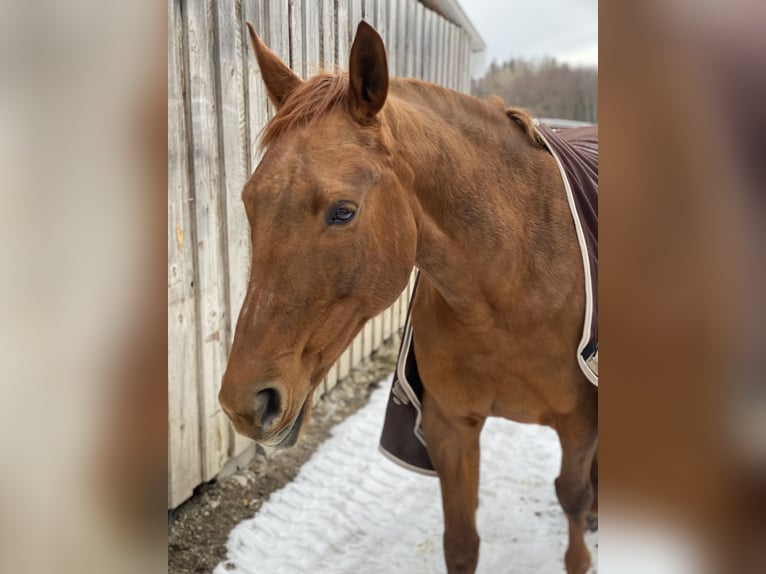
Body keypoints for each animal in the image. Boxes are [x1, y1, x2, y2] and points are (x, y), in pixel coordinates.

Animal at [220, 20, 600, 574]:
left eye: (343, 211)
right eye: (249, 201)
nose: (242, 404)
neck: (514, 285)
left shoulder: (577, 427)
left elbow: (572, 506)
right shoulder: (450, 430)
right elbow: (461, 546)